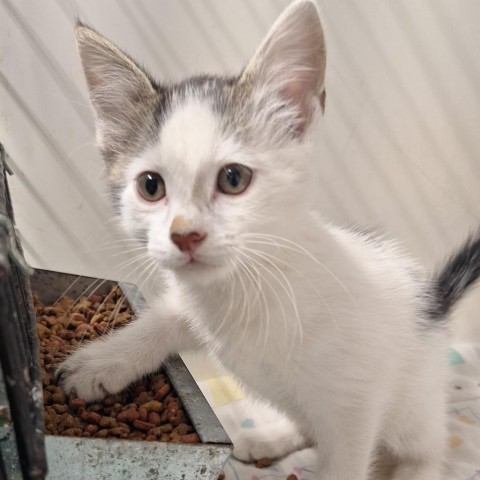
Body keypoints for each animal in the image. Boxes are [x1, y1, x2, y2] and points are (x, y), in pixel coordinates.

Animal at [59, 1, 480, 478]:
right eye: (151, 186)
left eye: (233, 178)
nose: (186, 235)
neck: (247, 285)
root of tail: (435, 301)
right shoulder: (197, 305)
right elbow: (164, 318)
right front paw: (100, 363)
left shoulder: (355, 406)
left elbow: (345, 459)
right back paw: (271, 437)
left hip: (415, 404)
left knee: (423, 450)